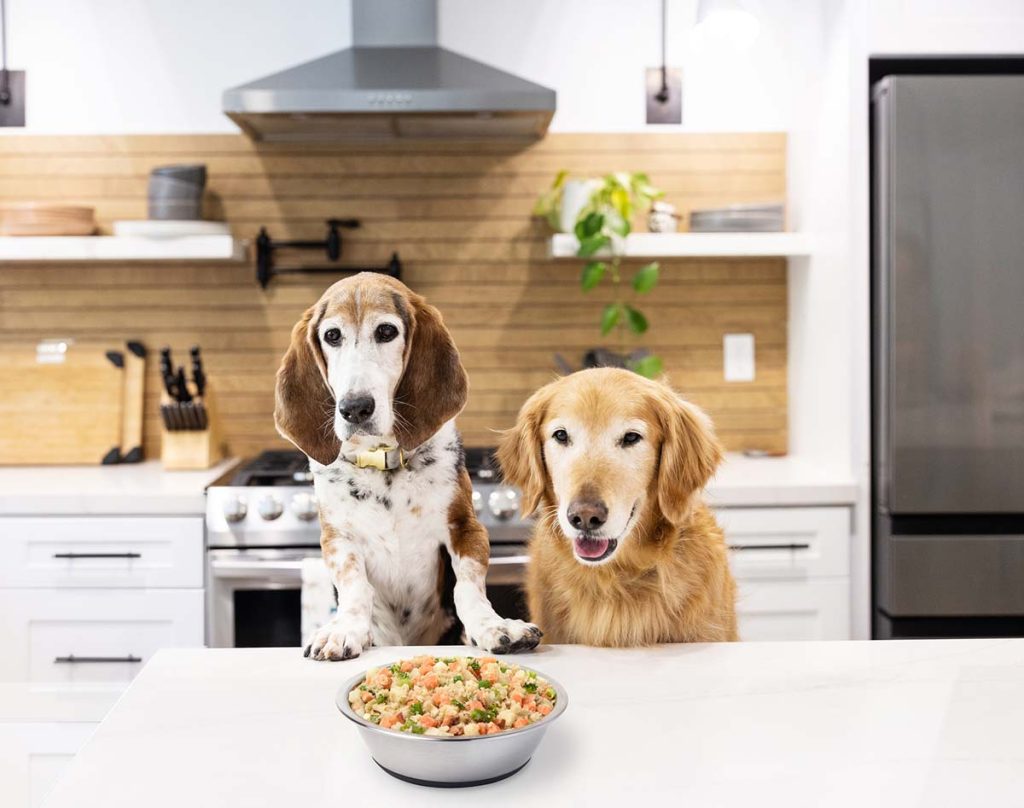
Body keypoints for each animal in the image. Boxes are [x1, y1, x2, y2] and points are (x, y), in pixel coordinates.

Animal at [276, 274, 540, 659]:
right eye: (332, 335)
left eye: (386, 331)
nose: (354, 408)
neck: (383, 462)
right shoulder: (337, 538)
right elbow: (355, 586)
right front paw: (344, 630)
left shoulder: (465, 527)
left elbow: (468, 587)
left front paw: (493, 627)